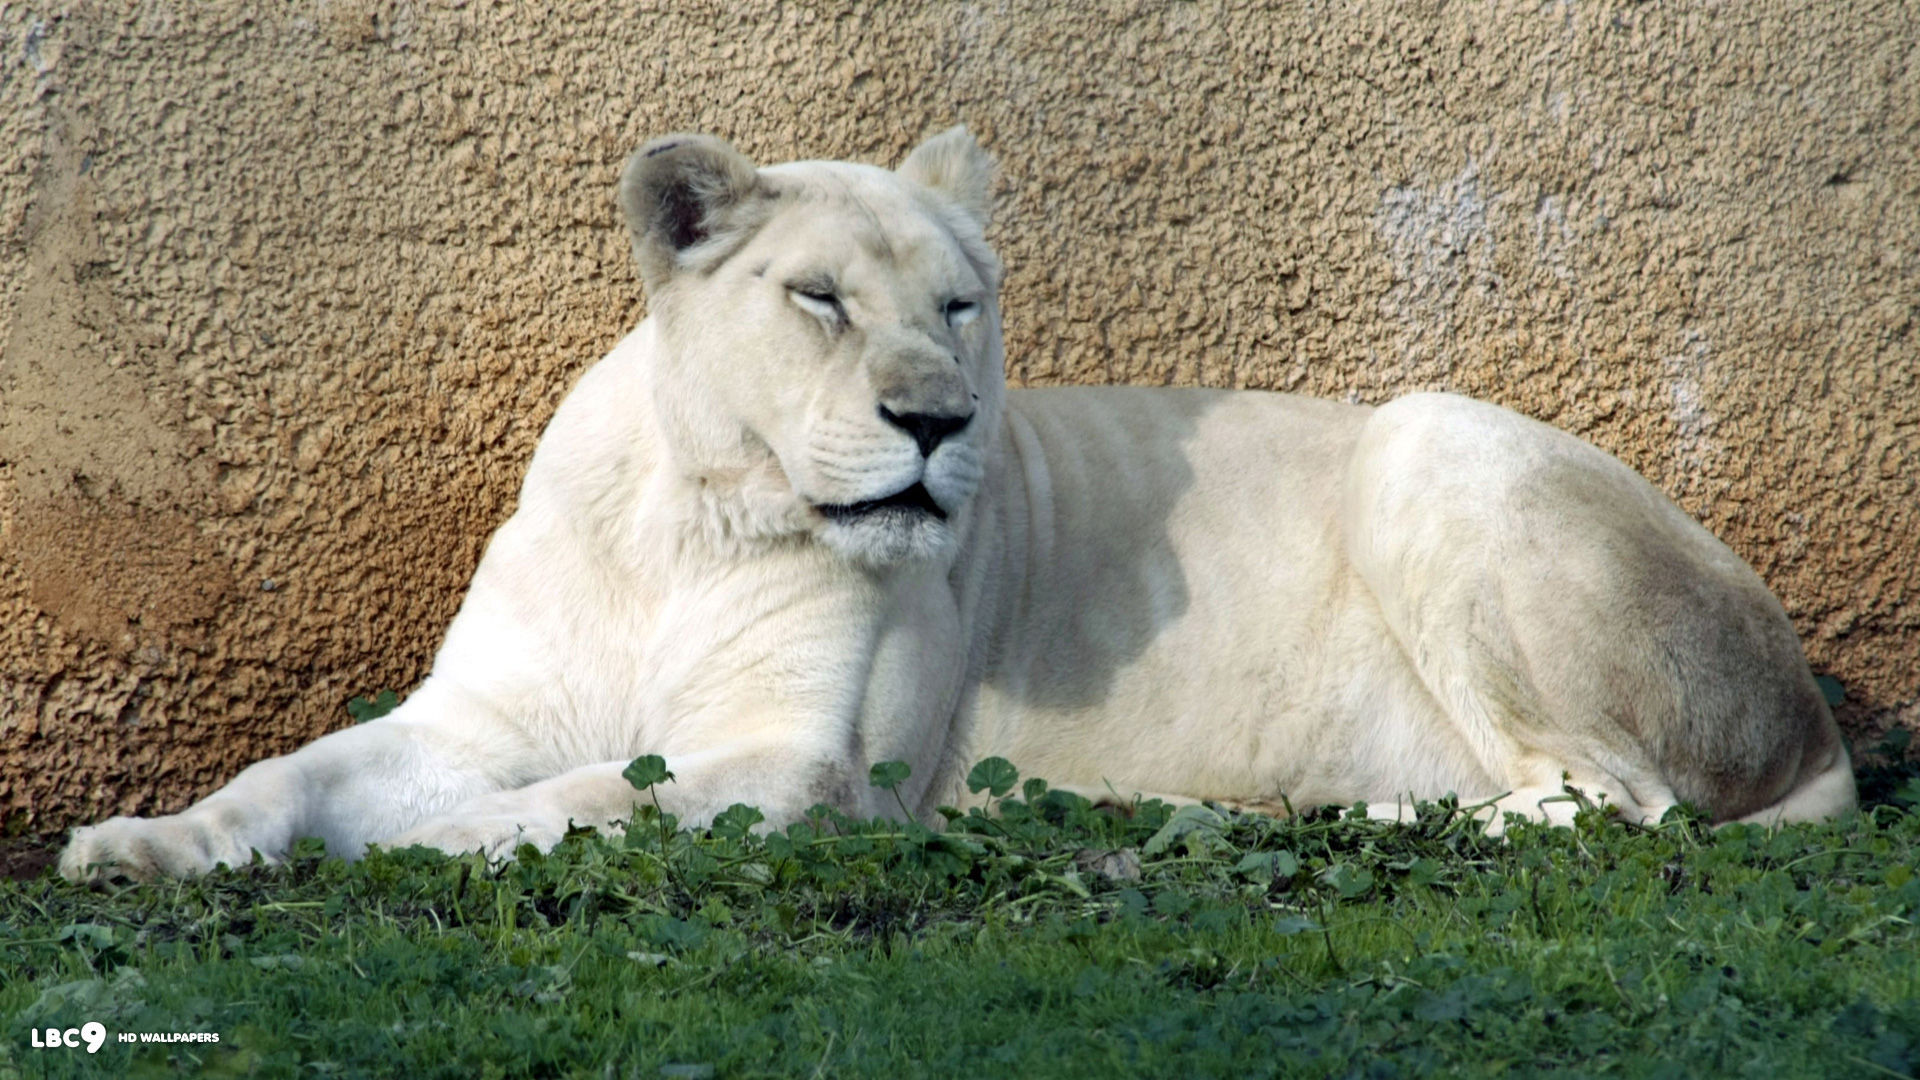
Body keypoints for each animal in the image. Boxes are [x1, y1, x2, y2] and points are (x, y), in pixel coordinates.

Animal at [60, 127, 1855, 881]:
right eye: (820, 300)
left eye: (962, 304)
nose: (933, 421)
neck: (694, 518)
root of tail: (1818, 716)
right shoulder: (478, 710)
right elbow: (297, 774)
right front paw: (139, 847)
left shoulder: (801, 765)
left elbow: (594, 800)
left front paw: (451, 844)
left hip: (1433, 436)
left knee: (1608, 804)